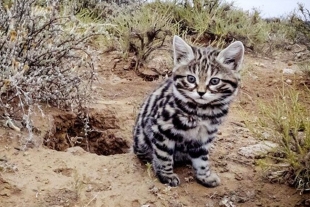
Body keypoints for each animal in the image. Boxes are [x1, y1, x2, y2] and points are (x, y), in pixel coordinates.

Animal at [133, 35, 245, 188]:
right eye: (191, 79)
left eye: (214, 81)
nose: (201, 93)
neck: (202, 111)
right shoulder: (161, 128)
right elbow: (163, 155)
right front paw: (166, 175)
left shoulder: (204, 136)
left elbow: (202, 159)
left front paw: (205, 176)